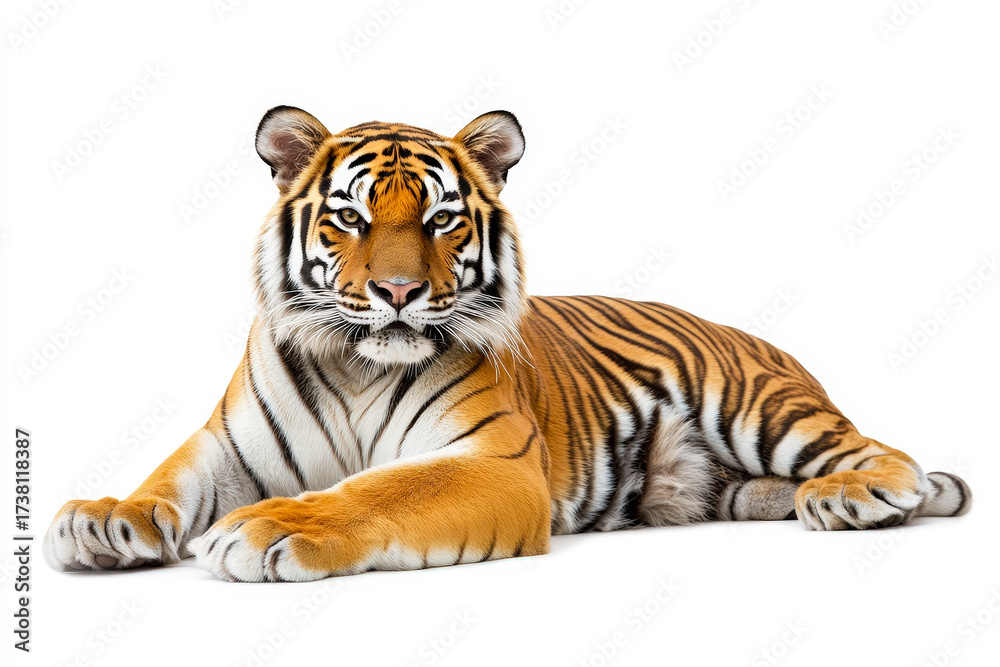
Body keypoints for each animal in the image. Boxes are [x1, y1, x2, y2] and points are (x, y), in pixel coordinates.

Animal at [43, 106, 972, 582]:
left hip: (762, 409)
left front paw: (272, 526)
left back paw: (850, 497)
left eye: (440, 219)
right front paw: (103, 518)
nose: (397, 292)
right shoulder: (225, 443)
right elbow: (167, 479)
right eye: (350, 217)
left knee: (884, 454)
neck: (357, 361)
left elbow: (378, 489)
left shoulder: (495, 462)